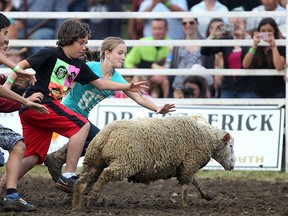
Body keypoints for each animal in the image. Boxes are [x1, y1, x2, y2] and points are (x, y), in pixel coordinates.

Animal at [72, 115, 234, 210]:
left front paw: (208, 195)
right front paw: (183, 205)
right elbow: (186, 185)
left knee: (83, 180)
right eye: (231, 146)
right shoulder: (190, 162)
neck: (206, 138)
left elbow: (196, 181)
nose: (232, 165)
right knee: (105, 175)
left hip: (94, 161)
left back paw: (78, 204)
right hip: (126, 161)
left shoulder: (184, 165)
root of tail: (107, 132)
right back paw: (91, 199)